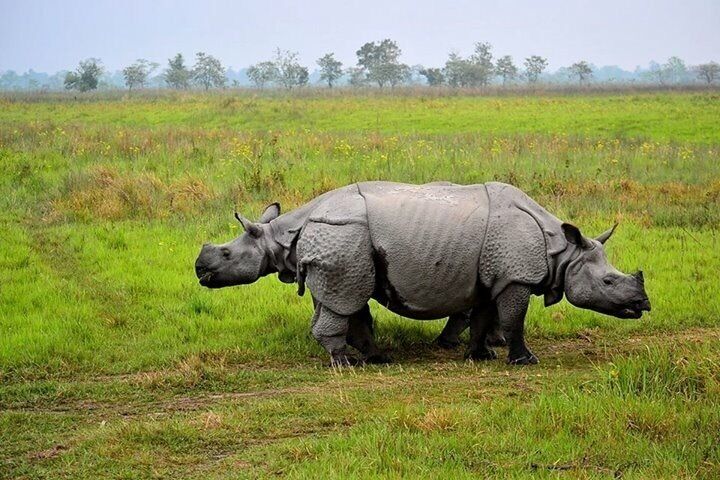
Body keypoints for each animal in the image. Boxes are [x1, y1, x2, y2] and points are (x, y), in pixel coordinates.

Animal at [195, 181, 651, 366]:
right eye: (609, 282)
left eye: (226, 254)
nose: (643, 304)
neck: (562, 252)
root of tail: (313, 217)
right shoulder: (514, 277)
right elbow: (514, 319)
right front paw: (524, 360)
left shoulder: (492, 276)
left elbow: (484, 315)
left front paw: (479, 356)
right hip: (345, 236)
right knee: (347, 299)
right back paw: (347, 365)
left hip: (347, 240)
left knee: (349, 299)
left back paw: (375, 360)